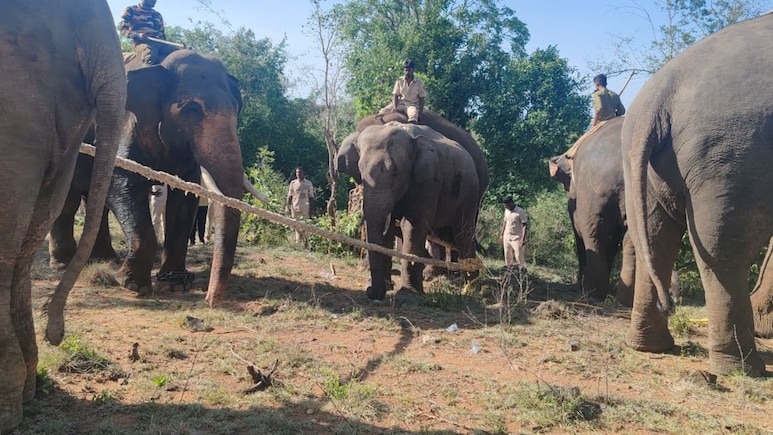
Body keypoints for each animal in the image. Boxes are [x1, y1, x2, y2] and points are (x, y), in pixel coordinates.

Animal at [48, 49, 246, 308]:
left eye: (236, 110)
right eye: (191, 109)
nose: (210, 301)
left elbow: (184, 200)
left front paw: (173, 284)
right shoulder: (125, 122)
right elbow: (121, 183)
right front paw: (132, 284)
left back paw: (106, 259)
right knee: (67, 201)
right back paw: (63, 263)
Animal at [336, 122, 481, 300]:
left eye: (396, 172)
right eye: (360, 172)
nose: (370, 291)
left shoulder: (428, 181)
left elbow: (412, 226)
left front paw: (408, 293)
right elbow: (389, 228)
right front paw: (387, 286)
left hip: (470, 194)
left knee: (463, 234)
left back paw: (471, 289)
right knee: (442, 235)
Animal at [621, 13, 773, 376]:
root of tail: (659, 97)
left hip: (640, 162)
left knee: (653, 238)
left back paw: (650, 346)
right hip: (735, 155)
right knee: (724, 250)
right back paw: (742, 368)